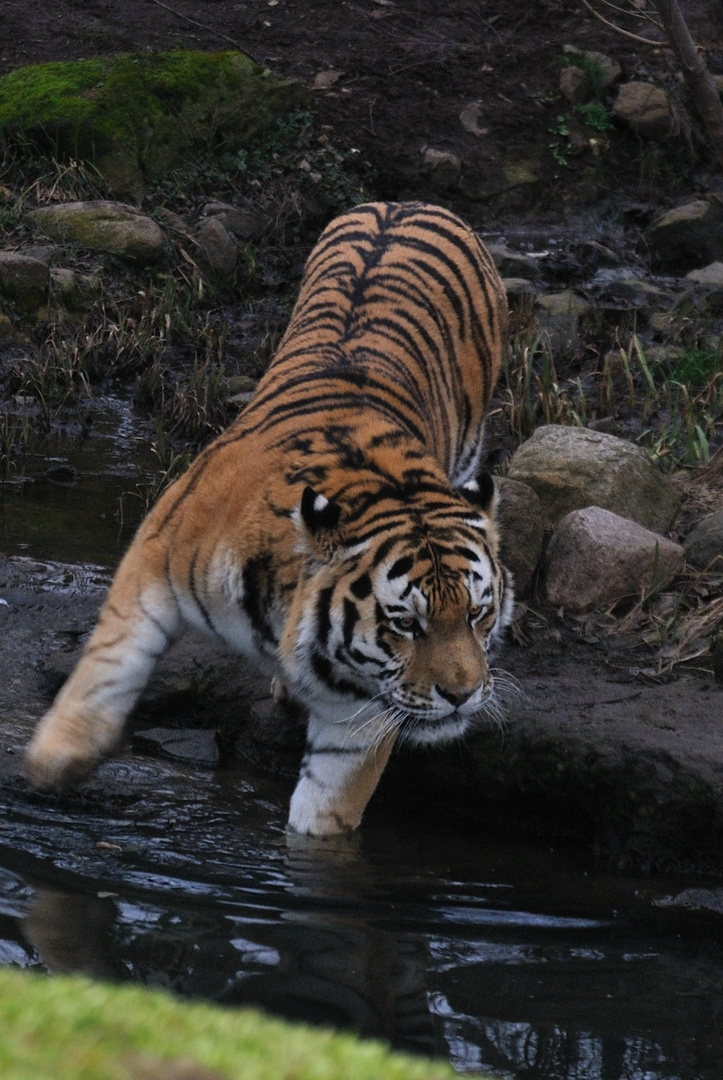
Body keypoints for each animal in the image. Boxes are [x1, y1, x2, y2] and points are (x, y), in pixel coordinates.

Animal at [23, 204, 512, 842]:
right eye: (406, 624)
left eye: (478, 614)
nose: (462, 695)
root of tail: (407, 204)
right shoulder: (155, 552)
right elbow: (110, 662)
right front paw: (54, 761)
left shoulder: (355, 711)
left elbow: (326, 808)